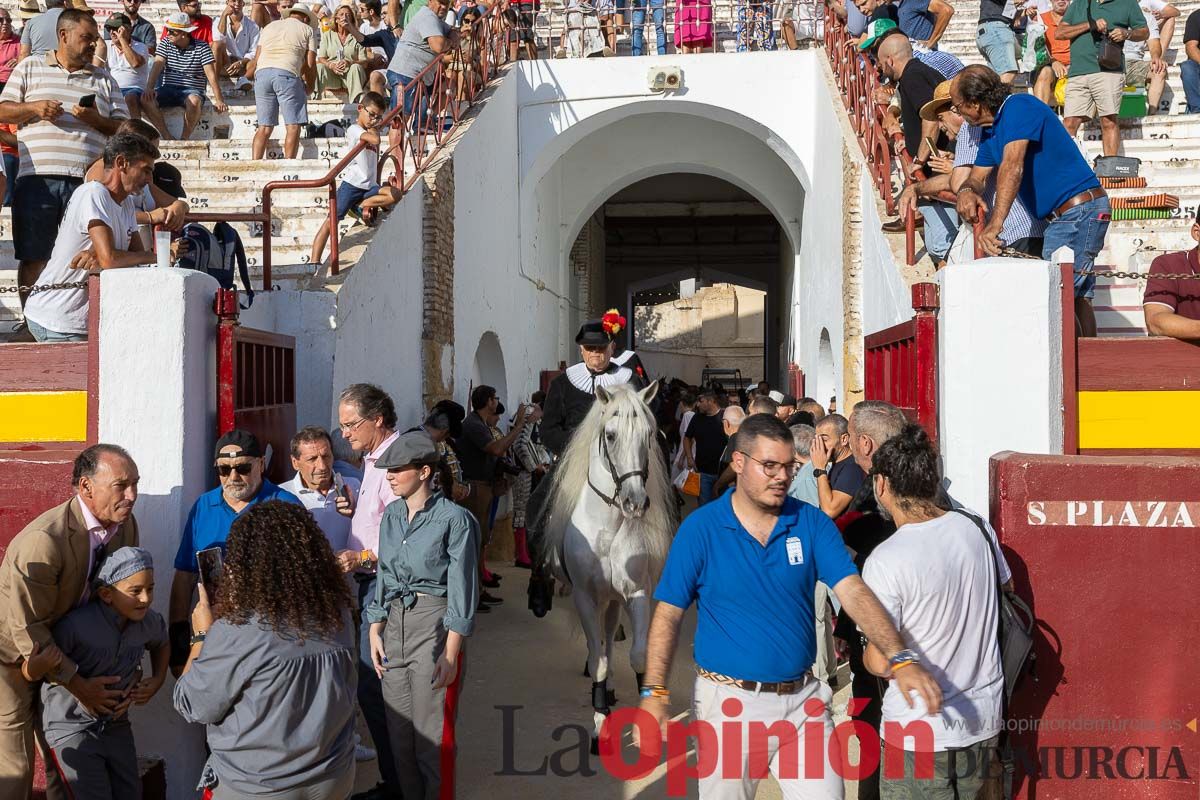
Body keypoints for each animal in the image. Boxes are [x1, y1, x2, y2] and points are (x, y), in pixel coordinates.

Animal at [542, 381, 676, 753]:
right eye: (611, 435)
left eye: (649, 434)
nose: (635, 502)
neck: (610, 525)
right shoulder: (586, 597)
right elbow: (597, 662)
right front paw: (599, 725)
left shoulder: (638, 593)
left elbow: (638, 656)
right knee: (598, 647)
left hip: (614, 599)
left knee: (609, 634)